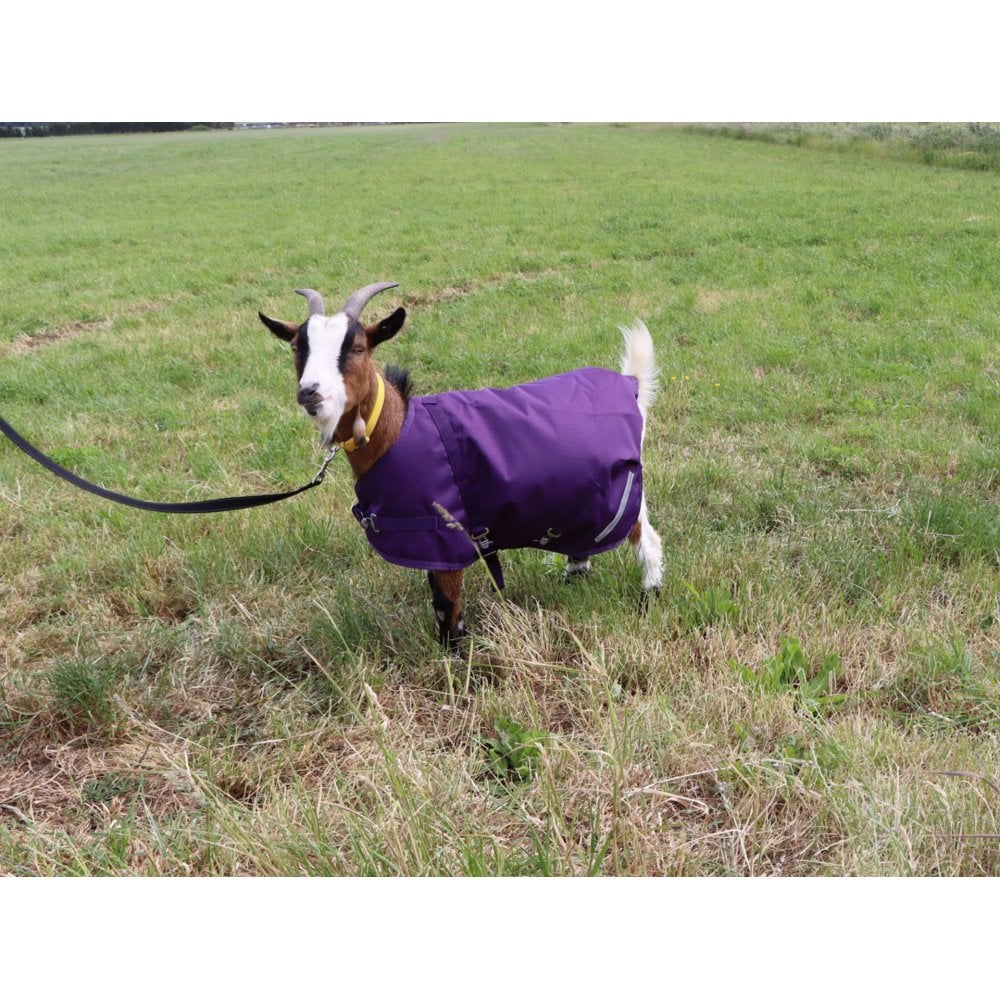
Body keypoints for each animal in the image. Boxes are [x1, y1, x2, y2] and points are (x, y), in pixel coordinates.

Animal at [259, 282, 664, 646]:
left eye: (357, 347)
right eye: (297, 347)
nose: (311, 392)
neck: (399, 429)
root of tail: (631, 385)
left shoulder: (446, 533)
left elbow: (446, 603)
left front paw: (454, 656)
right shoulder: (427, 540)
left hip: (624, 488)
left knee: (647, 538)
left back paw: (650, 596)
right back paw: (574, 576)